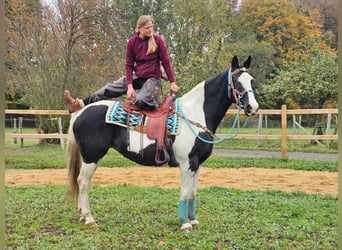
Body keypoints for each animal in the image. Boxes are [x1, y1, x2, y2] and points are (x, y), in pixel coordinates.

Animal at [67, 55, 260, 231]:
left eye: (251, 80)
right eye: (237, 81)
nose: (253, 107)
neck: (195, 114)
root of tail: (80, 112)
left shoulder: (198, 164)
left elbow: (193, 193)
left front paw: (193, 220)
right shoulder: (187, 163)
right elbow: (185, 193)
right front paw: (185, 224)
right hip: (91, 157)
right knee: (83, 182)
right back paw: (89, 218)